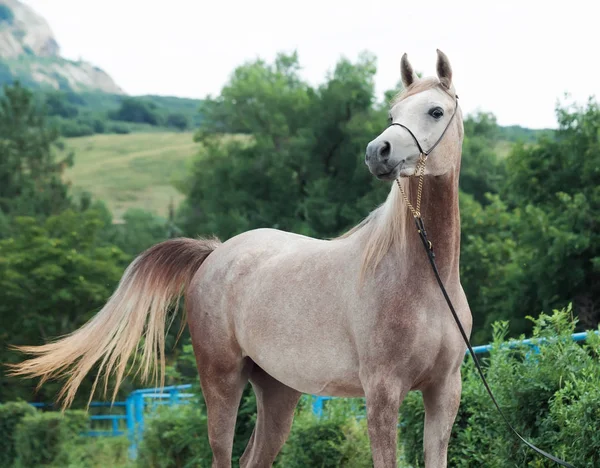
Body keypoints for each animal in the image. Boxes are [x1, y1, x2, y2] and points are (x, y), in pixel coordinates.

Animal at [9, 49, 468, 466]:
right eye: (392, 112)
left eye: (435, 110)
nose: (378, 152)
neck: (422, 280)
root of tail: (215, 253)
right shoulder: (382, 392)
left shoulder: (444, 390)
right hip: (222, 381)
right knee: (222, 454)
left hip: (278, 390)